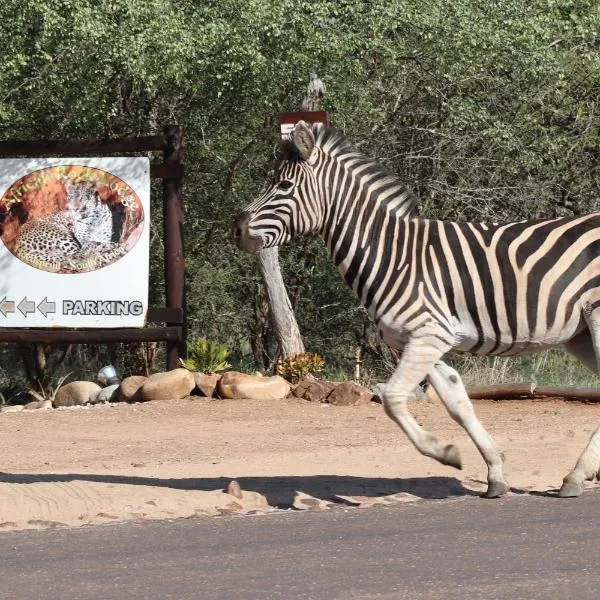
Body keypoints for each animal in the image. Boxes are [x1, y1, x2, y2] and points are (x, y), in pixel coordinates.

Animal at [231, 120, 600, 496]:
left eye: (284, 185)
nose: (236, 229)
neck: (391, 254)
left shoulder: (429, 334)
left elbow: (394, 399)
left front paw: (445, 452)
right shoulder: (421, 339)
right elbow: (458, 403)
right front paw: (495, 472)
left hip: (596, 319)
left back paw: (575, 476)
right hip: (580, 336)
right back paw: (578, 474)